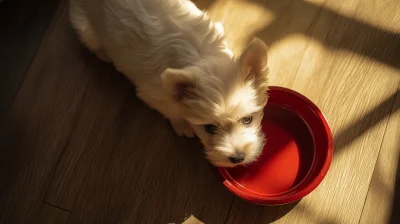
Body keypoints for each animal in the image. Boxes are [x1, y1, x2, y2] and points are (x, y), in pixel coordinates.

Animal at [69, 0, 268, 166]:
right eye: (209, 128)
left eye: (248, 119)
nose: (238, 158)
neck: (203, 57)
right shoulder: (151, 93)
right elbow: (171, 110)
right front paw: (182, 125)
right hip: (85, 28)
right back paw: (105, 54)